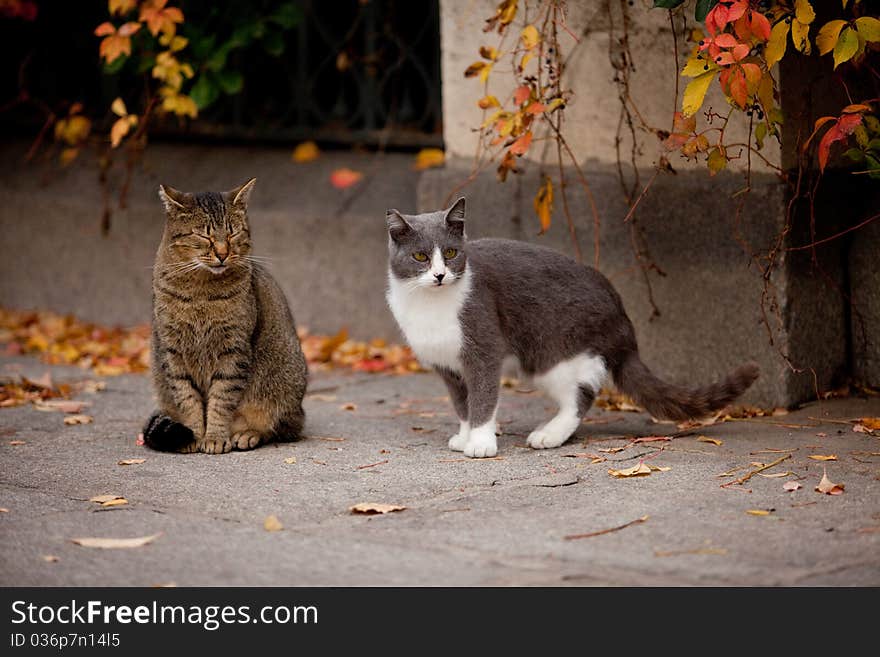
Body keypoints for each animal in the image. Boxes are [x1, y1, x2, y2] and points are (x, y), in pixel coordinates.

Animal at [143, 179, 308, 456]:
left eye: (233, 233)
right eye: (204, 235)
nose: (222, 253)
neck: (200, 291)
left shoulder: (233, 349)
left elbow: (221, 399)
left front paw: (215, 437)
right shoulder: (172, 351)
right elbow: (187, 398)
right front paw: (194, 435)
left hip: (283, 386)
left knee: (280, 426)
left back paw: (247, 434)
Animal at [384, 197, 756, 458]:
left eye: (450, 253)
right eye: (420, 257)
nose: (439, 275)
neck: (431, 305)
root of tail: (622, 318)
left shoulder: (484, 349)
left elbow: (483, 398)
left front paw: (481, 442)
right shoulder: (448, 366)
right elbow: (462, 404)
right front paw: (464, 436)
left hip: (553, 353)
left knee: (581, 395)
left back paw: (549, 434)